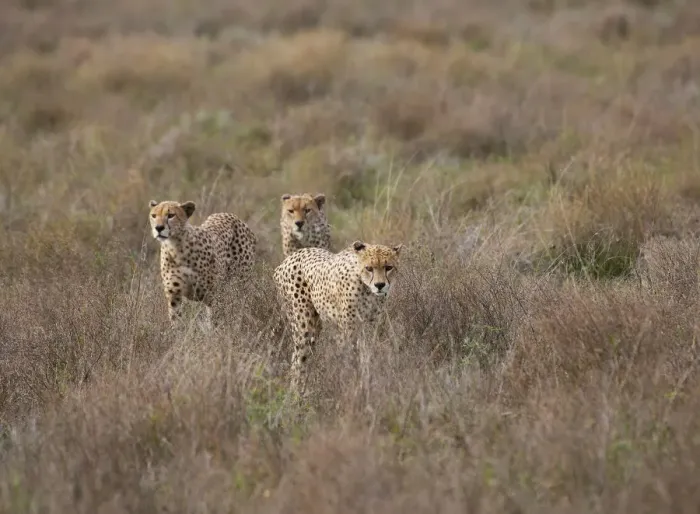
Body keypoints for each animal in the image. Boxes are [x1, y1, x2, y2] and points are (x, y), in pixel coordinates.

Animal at [273, 240, 402, 394]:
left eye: (388, 267)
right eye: (369, 268)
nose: (380, 285)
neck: (366, 288)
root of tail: (287, 260)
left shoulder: (371, 326)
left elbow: (368, 354)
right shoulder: (348, 331)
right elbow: (350, 358)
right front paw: (351, 384)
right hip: (304, 326)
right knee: (299, 358)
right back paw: (296, 392)